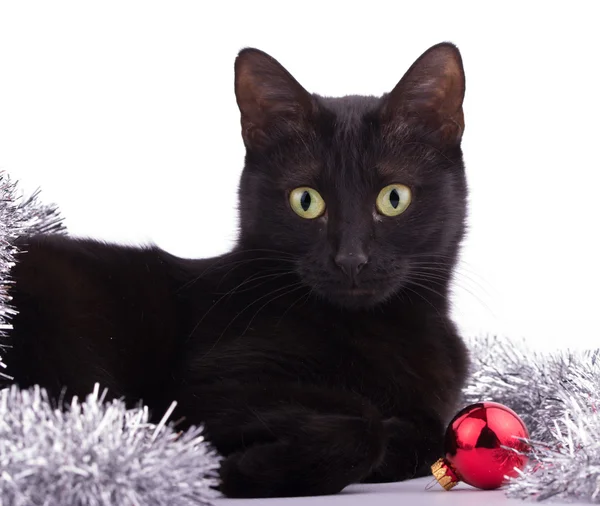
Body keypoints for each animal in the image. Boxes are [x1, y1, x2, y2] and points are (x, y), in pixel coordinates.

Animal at [7, 42, 472, 498]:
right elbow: (364, 420)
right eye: (306, 201)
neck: (376, 329)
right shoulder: (205, 387)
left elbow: (427, 431)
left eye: (394, 198)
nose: (351, 259)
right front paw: (244, 469)